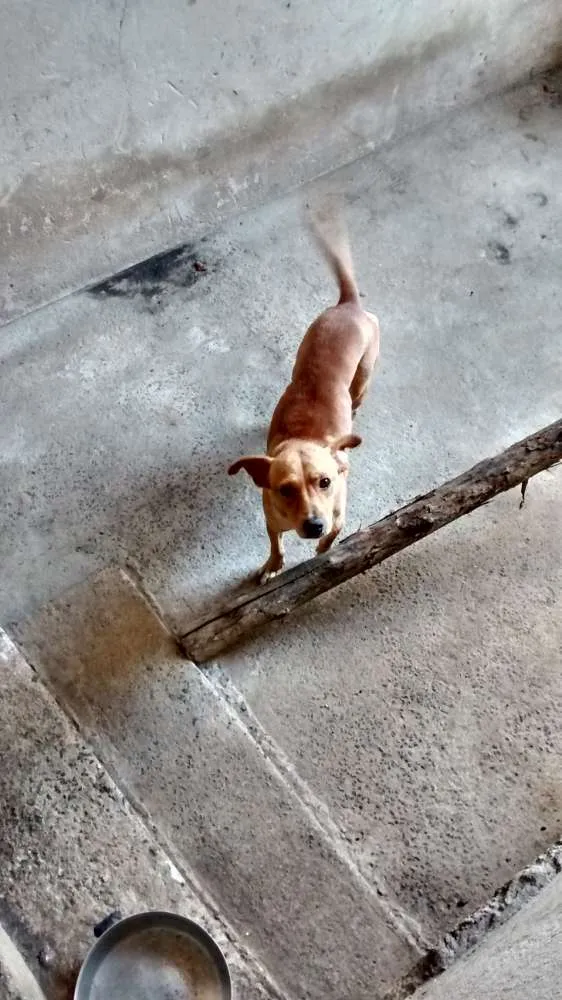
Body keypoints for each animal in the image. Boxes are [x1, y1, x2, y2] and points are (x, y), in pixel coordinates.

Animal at [229, 212, 380, 584]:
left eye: (324, 482)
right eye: (285, 489)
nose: (313, 525)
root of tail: (349, 305)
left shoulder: (338, 516)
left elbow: (332, 538)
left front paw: (324, 552)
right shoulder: (271, 518)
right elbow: (276, 544)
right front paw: (273, 564)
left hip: (363, 378)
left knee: (356, 400)